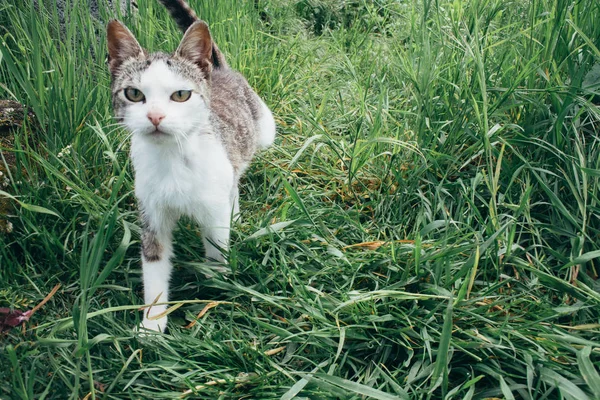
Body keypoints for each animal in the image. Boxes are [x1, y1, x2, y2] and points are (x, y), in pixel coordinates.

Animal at [106, 0, 276, 332]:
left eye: (181, 95)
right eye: (134, 93)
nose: (155, 116)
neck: (171, 158)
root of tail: (220, 70)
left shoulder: (212, 209)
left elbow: (216, 245)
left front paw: (216, 285)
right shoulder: (152, 213)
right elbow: (154, 263)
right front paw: (152, 324)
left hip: (263, 132)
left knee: (236, 176)